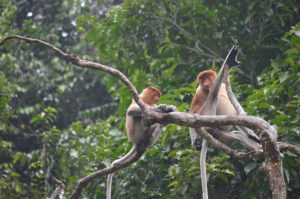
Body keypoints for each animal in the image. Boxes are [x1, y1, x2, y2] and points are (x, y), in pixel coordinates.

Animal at [190, 45, 241, 198]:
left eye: (207, 77)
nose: (206, 83)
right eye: (201, 80)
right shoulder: (199, 91)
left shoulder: (224, 86)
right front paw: (194, 142)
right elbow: (192, 112)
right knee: (212, 97)